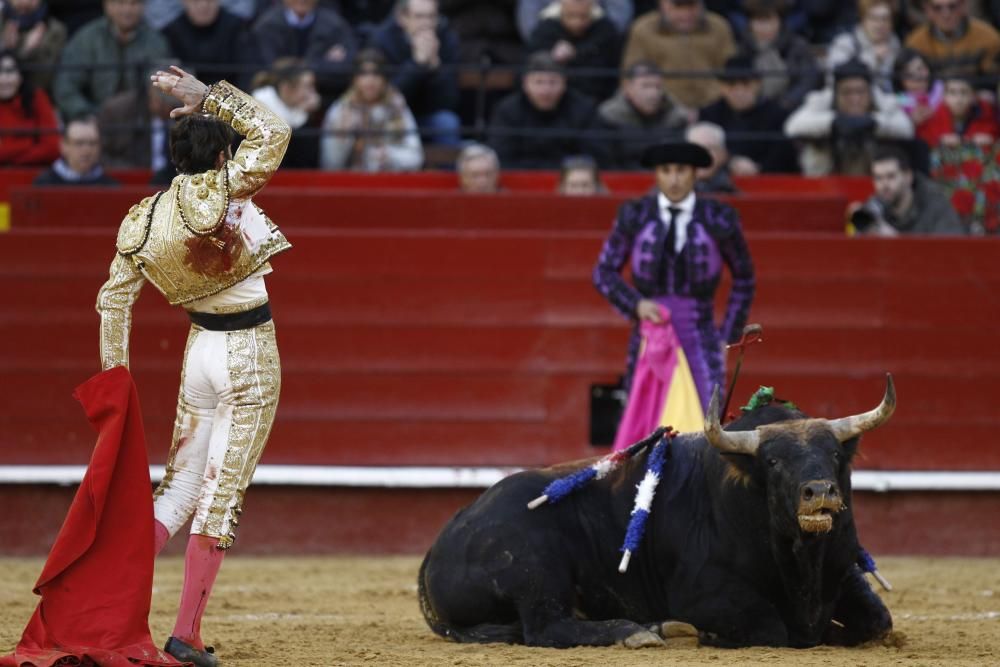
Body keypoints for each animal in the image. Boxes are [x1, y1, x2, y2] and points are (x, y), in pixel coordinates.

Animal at [418, 378, 896, 648]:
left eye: (835, 455)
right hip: (535, 566)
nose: (819, 493)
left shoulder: (845, 571)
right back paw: (638, 631)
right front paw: (708, 635)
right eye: (774, 462)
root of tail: (436, 550)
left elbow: (879, 621)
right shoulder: (704, 593)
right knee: (544, 628)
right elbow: (771, 628)